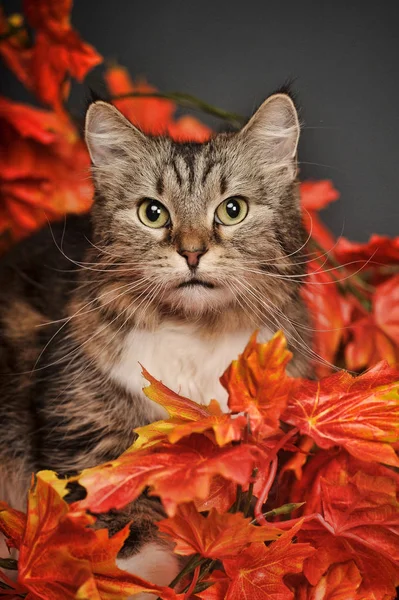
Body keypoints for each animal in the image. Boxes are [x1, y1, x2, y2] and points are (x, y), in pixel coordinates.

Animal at [0, 91, 312, 592]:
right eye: (153, 213)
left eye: (233, 210)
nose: (192, 252)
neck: (193, 331)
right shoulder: (86, 435)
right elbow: (118, 517)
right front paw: (135, 580)